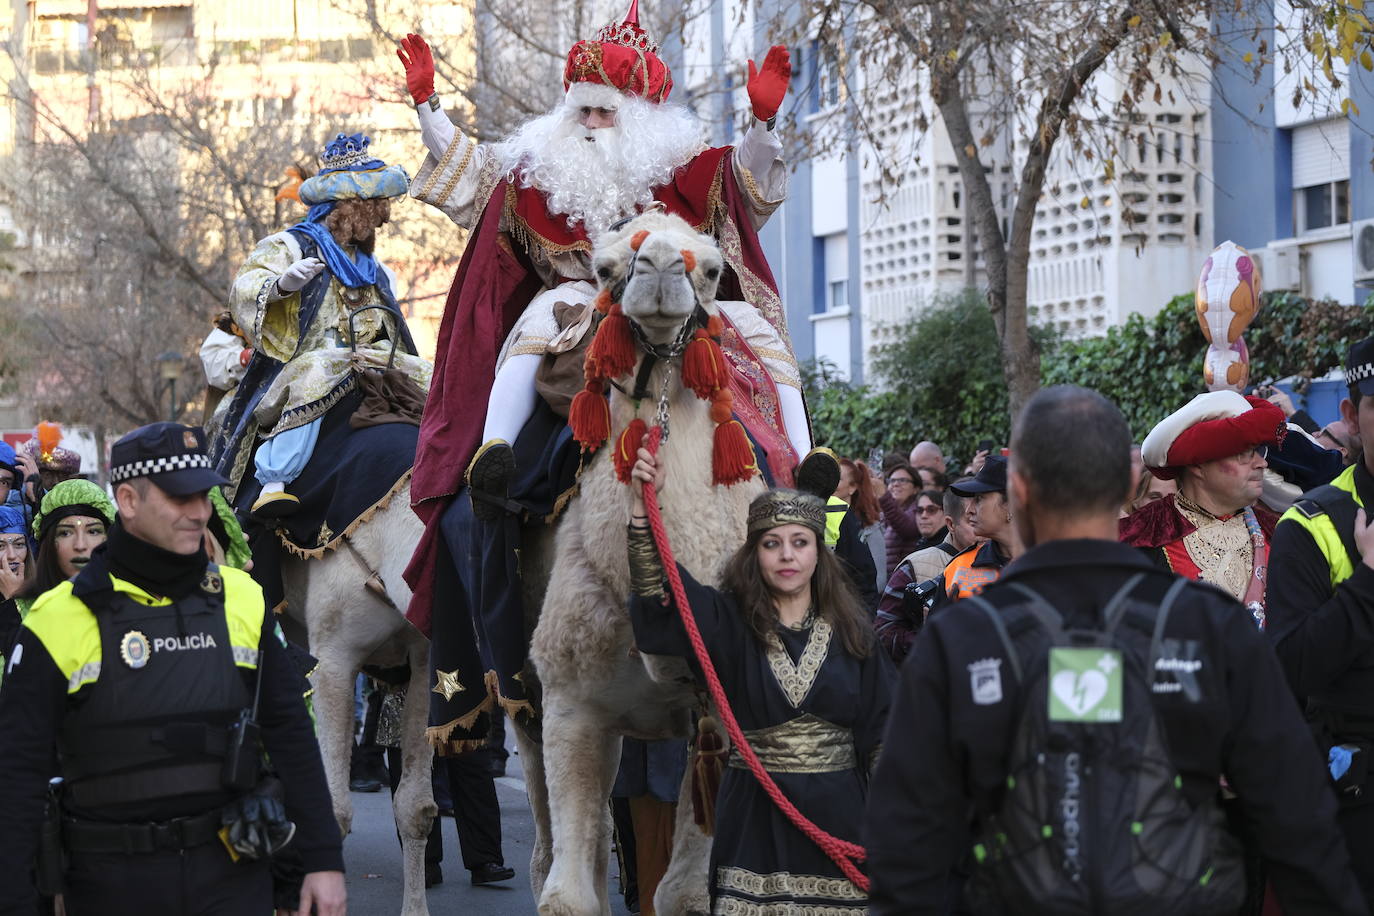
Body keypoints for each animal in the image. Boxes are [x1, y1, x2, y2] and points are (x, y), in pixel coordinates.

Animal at [519, 211, 769, 916]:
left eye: (712, 268)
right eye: (603, 267)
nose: (659, 267)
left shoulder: (724, 711)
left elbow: (683, 893)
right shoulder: (570, 704)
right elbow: (568, 897)